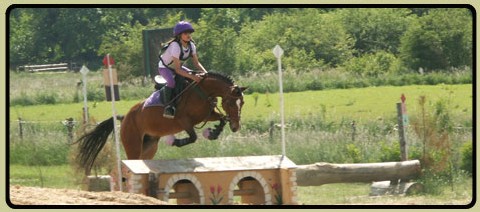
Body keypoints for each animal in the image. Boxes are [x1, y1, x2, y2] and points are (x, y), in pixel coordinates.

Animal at [77, 72, 248, 175]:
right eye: (231, 103)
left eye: (243, 103)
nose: (236, 127)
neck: (203, 91)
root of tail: (124, 117)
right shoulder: (184, 121)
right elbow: (193, 137)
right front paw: (174, 141)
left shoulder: (208, 114)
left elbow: (221, 119)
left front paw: (213, 133)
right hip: (132, 144)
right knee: (131, 160)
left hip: (149, 146)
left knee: (142, 159)